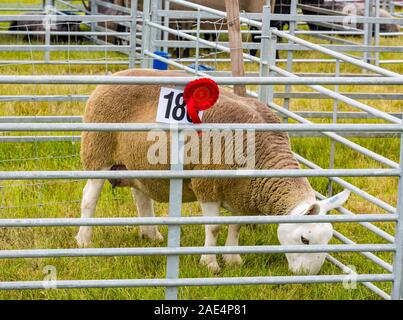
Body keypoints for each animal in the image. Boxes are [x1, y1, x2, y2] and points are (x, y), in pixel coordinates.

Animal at [78, 69, 350, 274]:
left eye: (329, 240)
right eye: (305, 239)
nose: (308, 275)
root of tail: (114, 75)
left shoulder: (241, 193)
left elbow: (236, 227)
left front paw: (233, 260)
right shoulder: (207, 184)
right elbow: (214, 227)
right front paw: (209, 263)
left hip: (135, 162)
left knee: (141, 197)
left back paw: (151, 235)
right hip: (98, 151)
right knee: (89, 198)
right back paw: (84, 240)